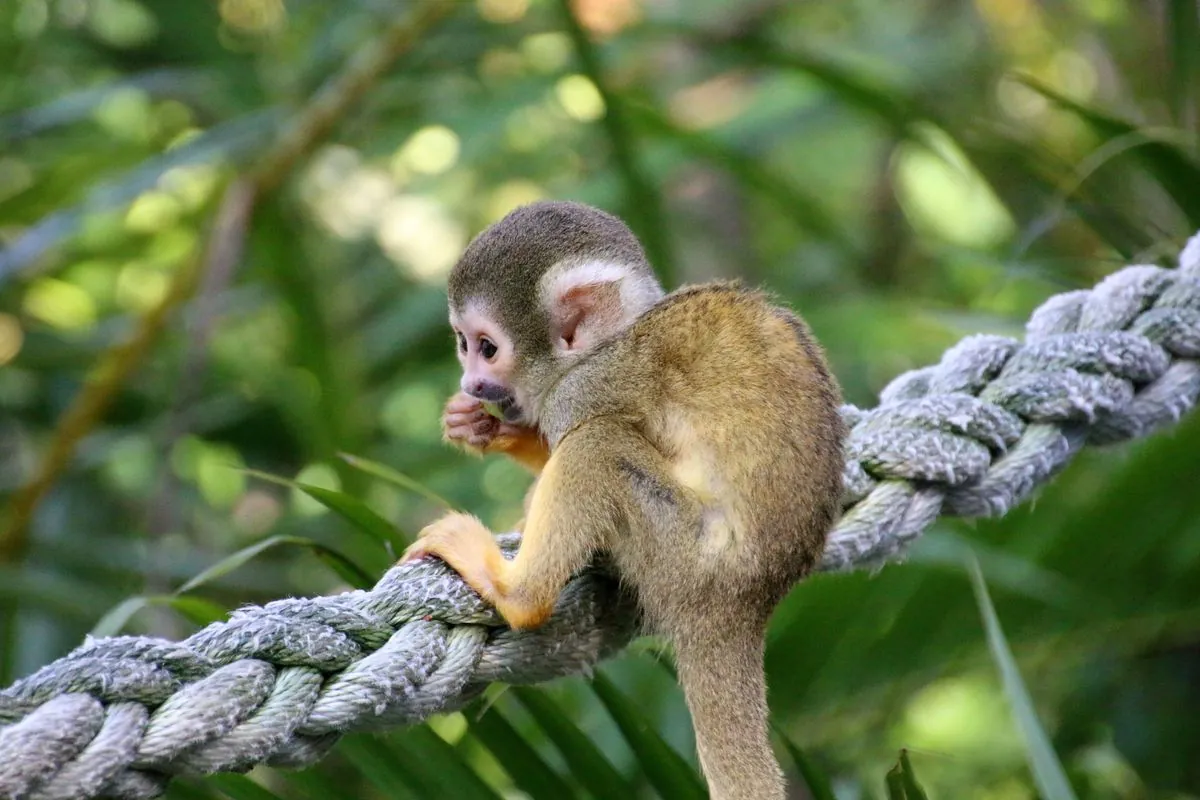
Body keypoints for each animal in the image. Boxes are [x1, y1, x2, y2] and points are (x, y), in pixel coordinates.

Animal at [404, 200, 845, 800]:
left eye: (487, 348)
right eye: (461, 343)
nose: (473, 385)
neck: (616, 337)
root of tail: (747, 599)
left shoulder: (586, 387)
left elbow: (578, 434)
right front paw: (487, 430)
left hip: (682, 554)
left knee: (598, 445)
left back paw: (516, 591)